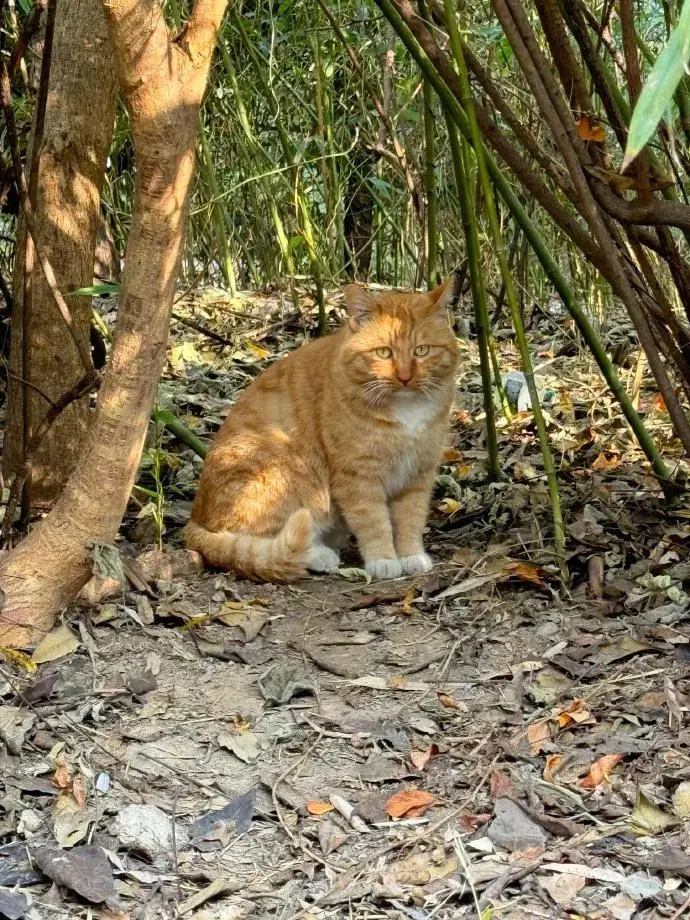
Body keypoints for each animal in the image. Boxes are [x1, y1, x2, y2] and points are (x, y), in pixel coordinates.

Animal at [185, 272, 460, 584]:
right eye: (384, 353)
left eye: (422, 351)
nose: (404, 376)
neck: (406, 410)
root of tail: (195, 518)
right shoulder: (357, 477)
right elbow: (373, 522)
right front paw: (383, 560)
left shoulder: (418, 474)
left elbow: (410, 519)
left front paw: (411, 555)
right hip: (285, 470)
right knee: (259, 542)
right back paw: (317, 554)